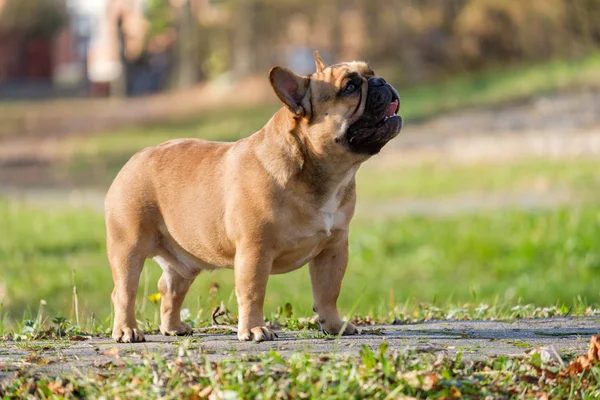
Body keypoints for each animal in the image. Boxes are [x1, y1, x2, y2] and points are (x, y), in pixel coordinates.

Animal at [105, 51, 400, 342]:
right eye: (350, 87)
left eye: (371, 72)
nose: (382, 81)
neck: (323, 174)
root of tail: (136, 158)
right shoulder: (255, 250)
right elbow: (253, 292)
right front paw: (254, 329)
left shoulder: (333, 248)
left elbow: (329, 291)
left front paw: (334, 325)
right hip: (129, 247)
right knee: (124, 292)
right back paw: (127, 330)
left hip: (182, 261)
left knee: (170, 288)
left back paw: (173, 327)